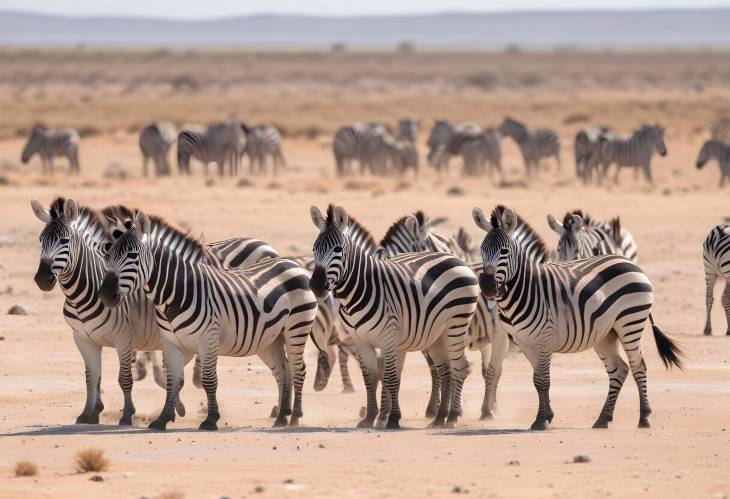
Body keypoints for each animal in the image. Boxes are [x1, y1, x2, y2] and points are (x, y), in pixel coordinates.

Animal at [101, 211, 318, 430]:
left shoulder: (208, 338)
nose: (105, 295)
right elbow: (172, 380)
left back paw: (295, 417)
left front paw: (211, 419)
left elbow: (208, 380)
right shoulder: (171, 343)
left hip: (297, 327)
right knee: (283, 371)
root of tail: (292, 263)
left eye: (133, 256)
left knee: (298, 369)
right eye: (108, 256)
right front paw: (163, 419)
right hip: (270, 339)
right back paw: (281, 417)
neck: (175, 292)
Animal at [308, 205, 478, 428]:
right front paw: (371, 417)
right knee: (445, 370)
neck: (358, 290)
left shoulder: (388, 338)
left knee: (460, 367)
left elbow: (390, 377)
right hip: (436, 334)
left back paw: (453, 416)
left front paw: (391, 418)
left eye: (337, 249)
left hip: (456, 325)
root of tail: (456, 259)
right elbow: (370, 377)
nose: (316, 286)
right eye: (314, 249)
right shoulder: (360, 340)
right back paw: (440, 417)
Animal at [470, 205, 680, 432]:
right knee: (619, 370)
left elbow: (542, 380)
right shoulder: (524, 342)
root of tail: (627, 261)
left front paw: (541, 420)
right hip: (606, 333)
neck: (525, 289)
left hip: (630, 323)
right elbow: (537, 380)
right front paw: (548, 415)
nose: (487, 286)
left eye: (504, 252)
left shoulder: (544, 338)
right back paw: (603, 419)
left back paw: (644, 417)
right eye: (481, 251)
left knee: (638, 366)